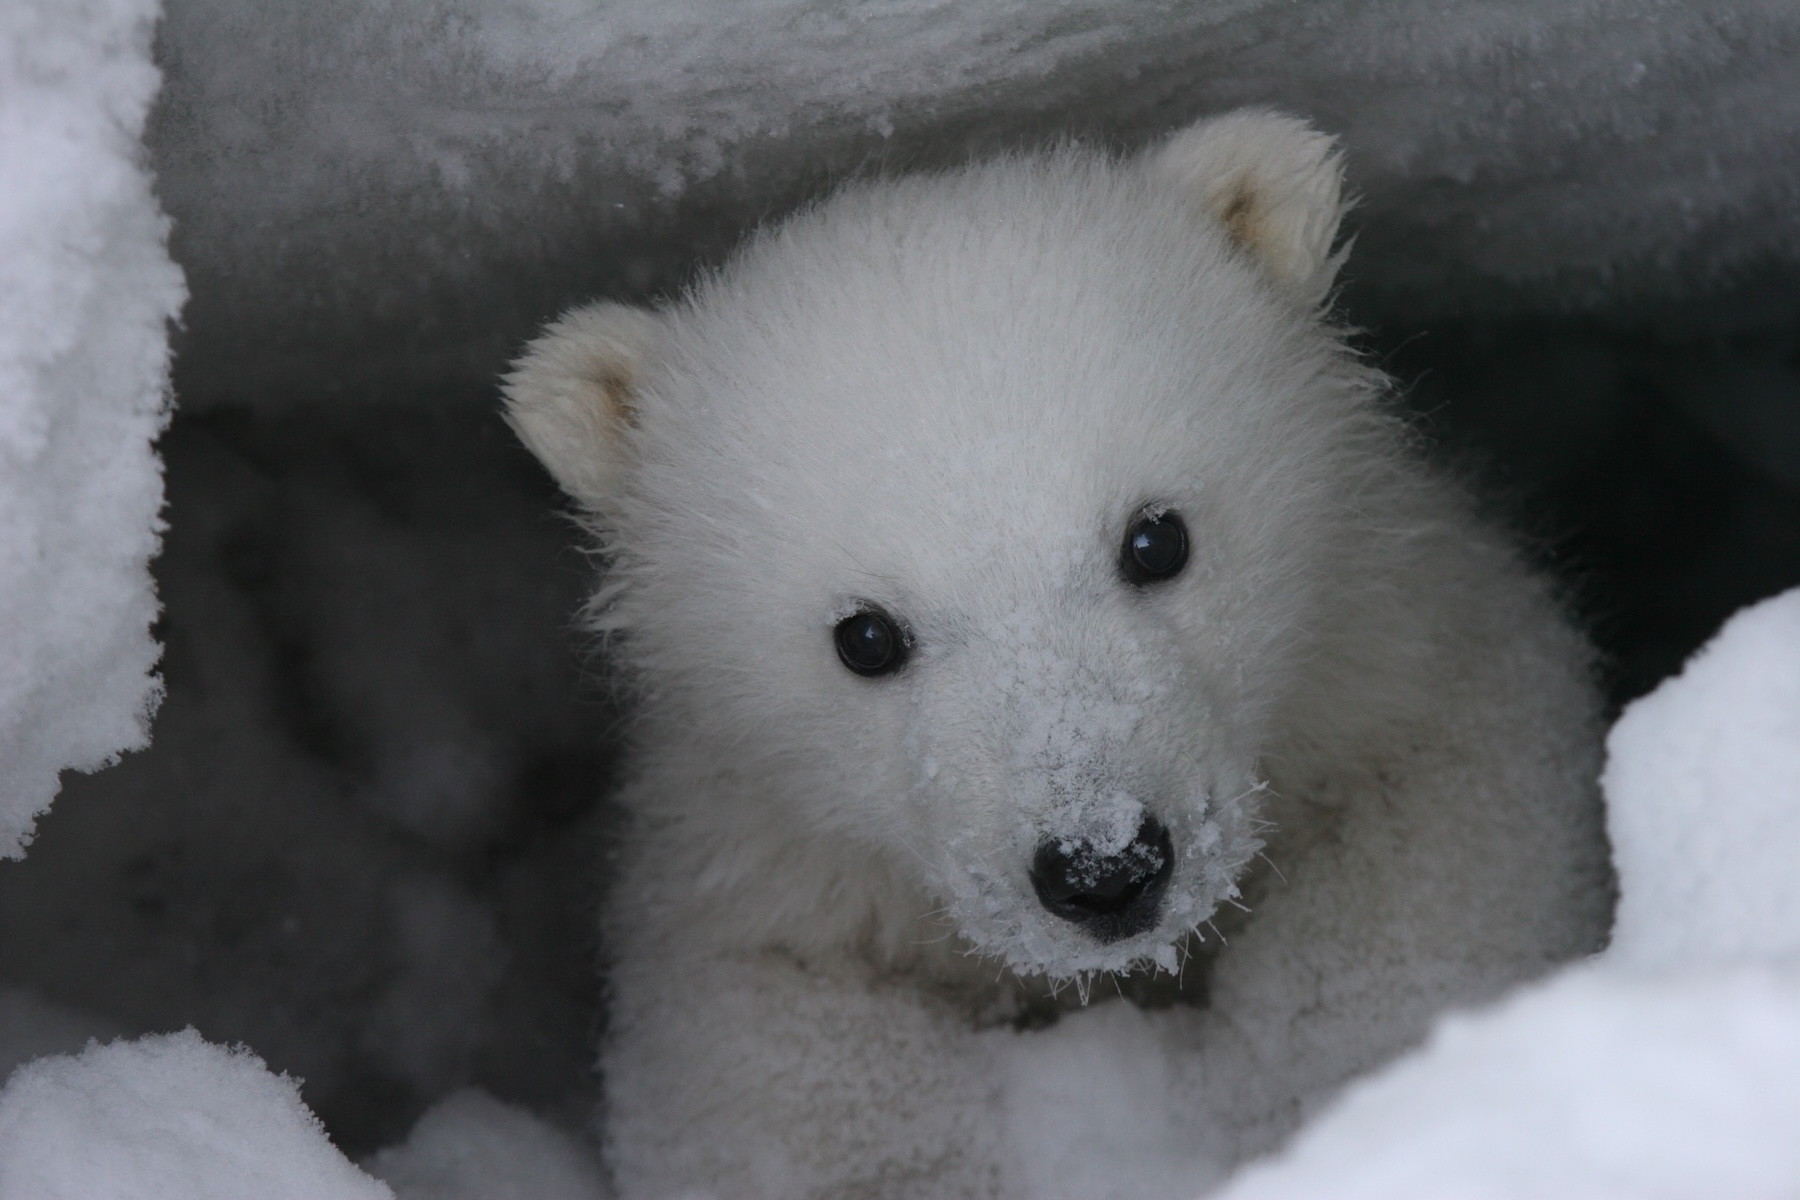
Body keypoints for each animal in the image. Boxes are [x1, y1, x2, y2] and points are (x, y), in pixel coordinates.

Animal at [501, 110, 1614, 1199]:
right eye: (865, 636)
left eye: (1156, 538)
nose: (1105, 867)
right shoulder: (751, 868)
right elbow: (781, 1072)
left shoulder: (1400, 661)